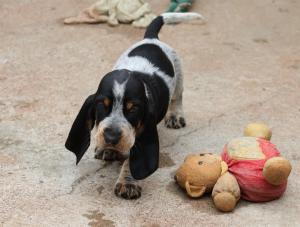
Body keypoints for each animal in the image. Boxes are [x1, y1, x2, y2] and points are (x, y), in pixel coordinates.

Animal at [65, 13, 202, 200]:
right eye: (101, 105)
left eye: (133, 109)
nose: (111, 136)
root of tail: (151, 38)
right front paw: (106, 149)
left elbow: (132, 157)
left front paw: (128, 183)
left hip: (179, 74)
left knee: (177, 97)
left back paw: (175, 116)